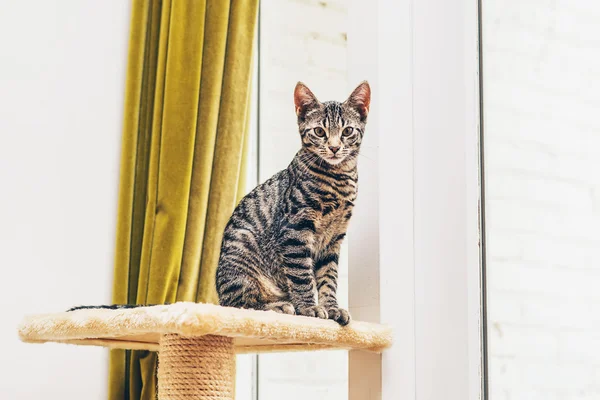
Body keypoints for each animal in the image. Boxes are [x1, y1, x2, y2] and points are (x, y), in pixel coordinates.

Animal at [213, 81, 368, 324]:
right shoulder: (295, 230)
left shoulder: (334, 239)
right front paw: (309, 308)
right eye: (319, 131)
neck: (339, 180)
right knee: (240, 304)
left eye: (347, 131)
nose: (334, 147)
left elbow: (329, 278)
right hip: (241, 260)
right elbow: (301, 275)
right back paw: (280, 306)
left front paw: (332, 308)